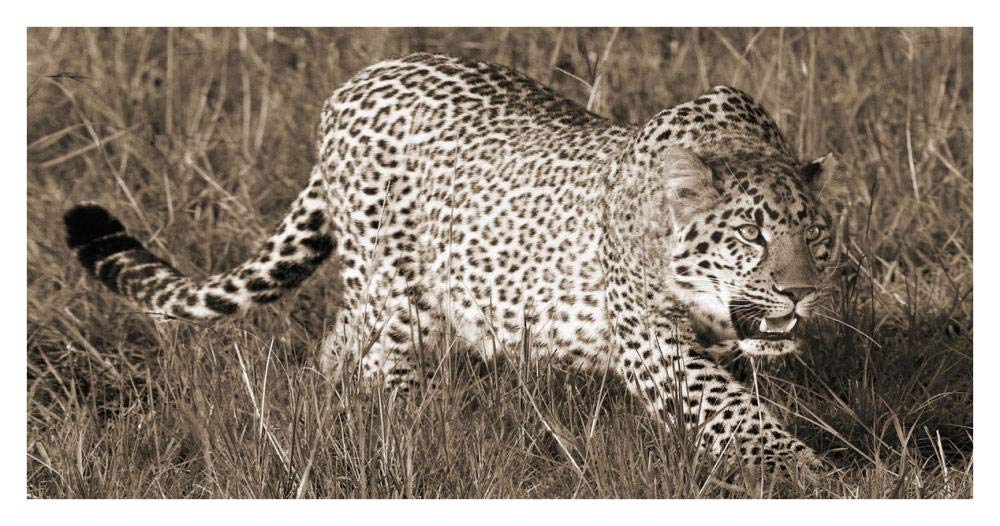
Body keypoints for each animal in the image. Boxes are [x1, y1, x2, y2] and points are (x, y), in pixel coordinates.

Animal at [64, 52, 842, 473]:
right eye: (749, 234)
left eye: (816, 236)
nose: (800, 293)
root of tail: (351, 85)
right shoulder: (653, 344)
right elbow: (732, 412)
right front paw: (805, 473)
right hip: (399, 290)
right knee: (379, 360)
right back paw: (410, 433)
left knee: (338, 348)